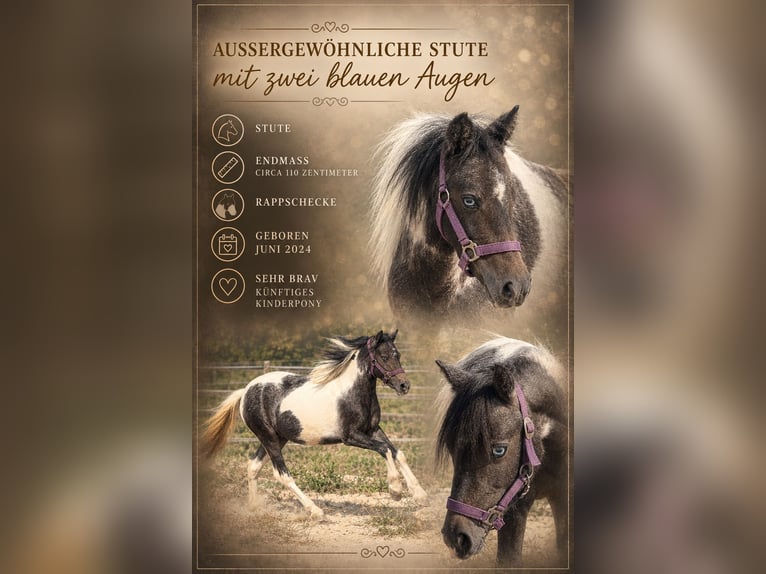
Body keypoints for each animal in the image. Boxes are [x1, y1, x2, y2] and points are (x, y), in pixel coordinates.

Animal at [200, 331, 427, 518]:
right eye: (384, 357)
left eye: (398, 355)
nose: (404, 386)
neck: (352, 393)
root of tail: (245, 391)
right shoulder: (351, 436)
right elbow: (385, 450)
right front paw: (396, 491)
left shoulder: (373, 430)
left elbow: (397, 452)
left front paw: (420, 494)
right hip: (268, 437)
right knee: (281, 474)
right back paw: (315, 511)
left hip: (277, 438)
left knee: (253, 466)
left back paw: (255, 508)